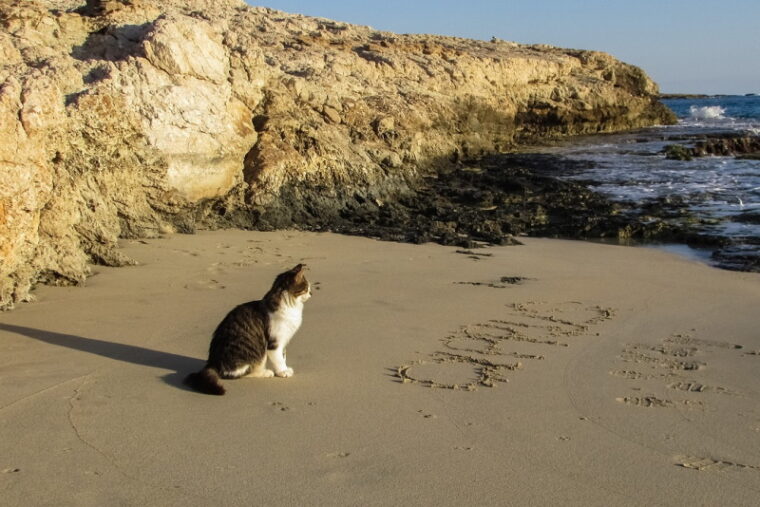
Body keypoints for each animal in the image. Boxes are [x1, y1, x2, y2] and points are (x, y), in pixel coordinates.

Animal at [184, 264, 312, 398]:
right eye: (306, 288)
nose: (312, 293)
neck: (291, 307)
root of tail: (212, 363)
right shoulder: (275, 342)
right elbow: (278, 359)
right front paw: (282, 371)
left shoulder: (284, 340)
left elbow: (283, 356)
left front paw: (285, 368)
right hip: (257, 354)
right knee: (239, 373)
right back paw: (265, 373)